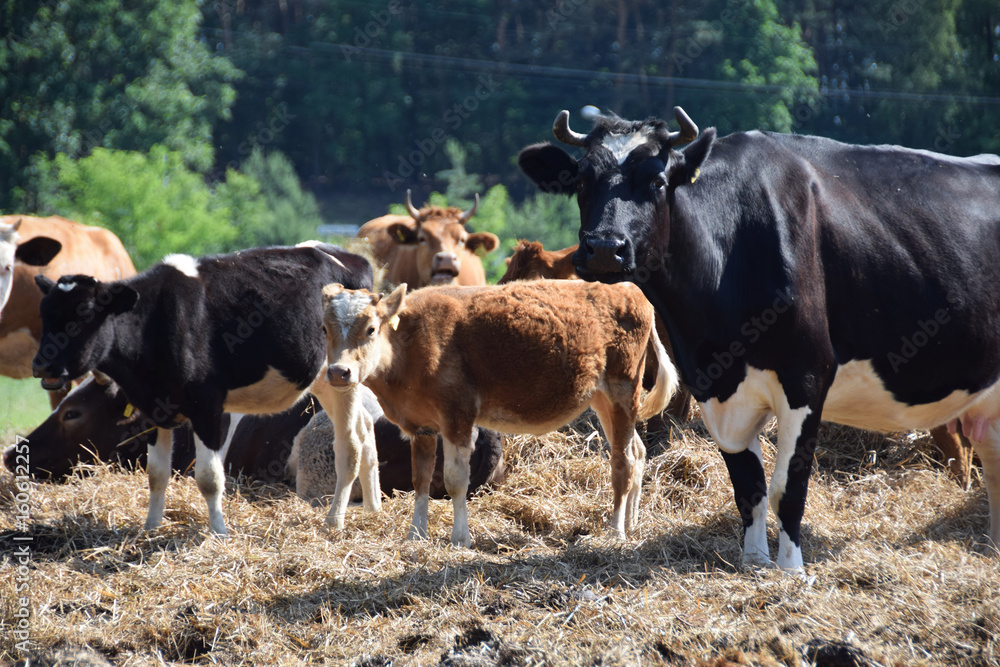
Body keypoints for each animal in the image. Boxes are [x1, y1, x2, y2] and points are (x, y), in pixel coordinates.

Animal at [30, 245, 382, 536]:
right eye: (44, 314)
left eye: (85, 314)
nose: (42, 365)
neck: (157, 321)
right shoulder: (154, 408)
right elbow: (157, 473)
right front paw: (150, 527)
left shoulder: (207, 407)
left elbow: (209, 478)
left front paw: (219, 531)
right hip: (324, 381)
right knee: (366, 430)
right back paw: (373, 509)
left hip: (342, 377)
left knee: (350, 443)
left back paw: (334, 521)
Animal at [324, 280, 676, 544]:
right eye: (326, 329)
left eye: (370, 328)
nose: (339, 372)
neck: (410, 346)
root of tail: (626, 288)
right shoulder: (420, 426)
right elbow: (420, 478)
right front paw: (415, 535)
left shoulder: (458, 416)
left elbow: (455, 480)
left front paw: (460, 538)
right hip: (602, 397)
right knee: (637, 451)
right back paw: (631, 523)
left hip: (622, 389)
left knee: (622, 462)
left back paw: (616, 531)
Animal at [516, 107, 1000, 568]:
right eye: (582, 180)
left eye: (656, 181)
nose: (604, 248)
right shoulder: (716, 387)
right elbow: (748, 486)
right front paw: (753, 562)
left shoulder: (806, 378)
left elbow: (788, 487)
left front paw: (790, 571)